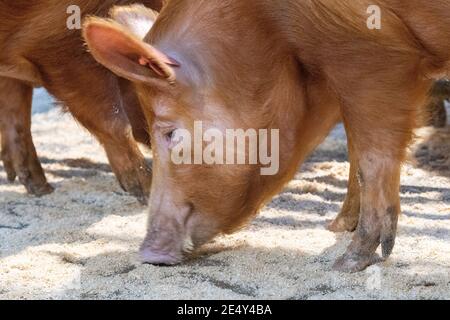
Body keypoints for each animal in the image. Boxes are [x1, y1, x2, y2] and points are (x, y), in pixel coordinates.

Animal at [83, 0, 450, 272]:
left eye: (170, 132)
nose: (148, 254)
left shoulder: (372, 56)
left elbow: (371, 157)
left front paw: (346, 263)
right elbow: (354, 149)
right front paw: (336, 227)